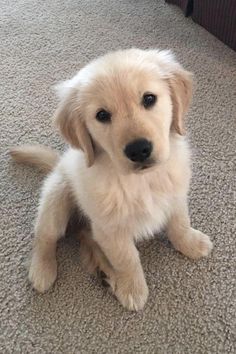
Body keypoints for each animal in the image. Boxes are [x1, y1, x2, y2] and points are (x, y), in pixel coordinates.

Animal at [11, 49, 213, 310]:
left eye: (149, 99)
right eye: (102, 115)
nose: (138, 150)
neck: (141, 182)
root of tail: (58, 164)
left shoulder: (175, 196)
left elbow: (179, 224)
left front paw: (190, 243)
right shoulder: (111, 228)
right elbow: (127, 258)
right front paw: (133, 289)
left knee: (87, 240)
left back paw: (105, 272)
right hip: (56, 199)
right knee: (45, 237)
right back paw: (42, 270)